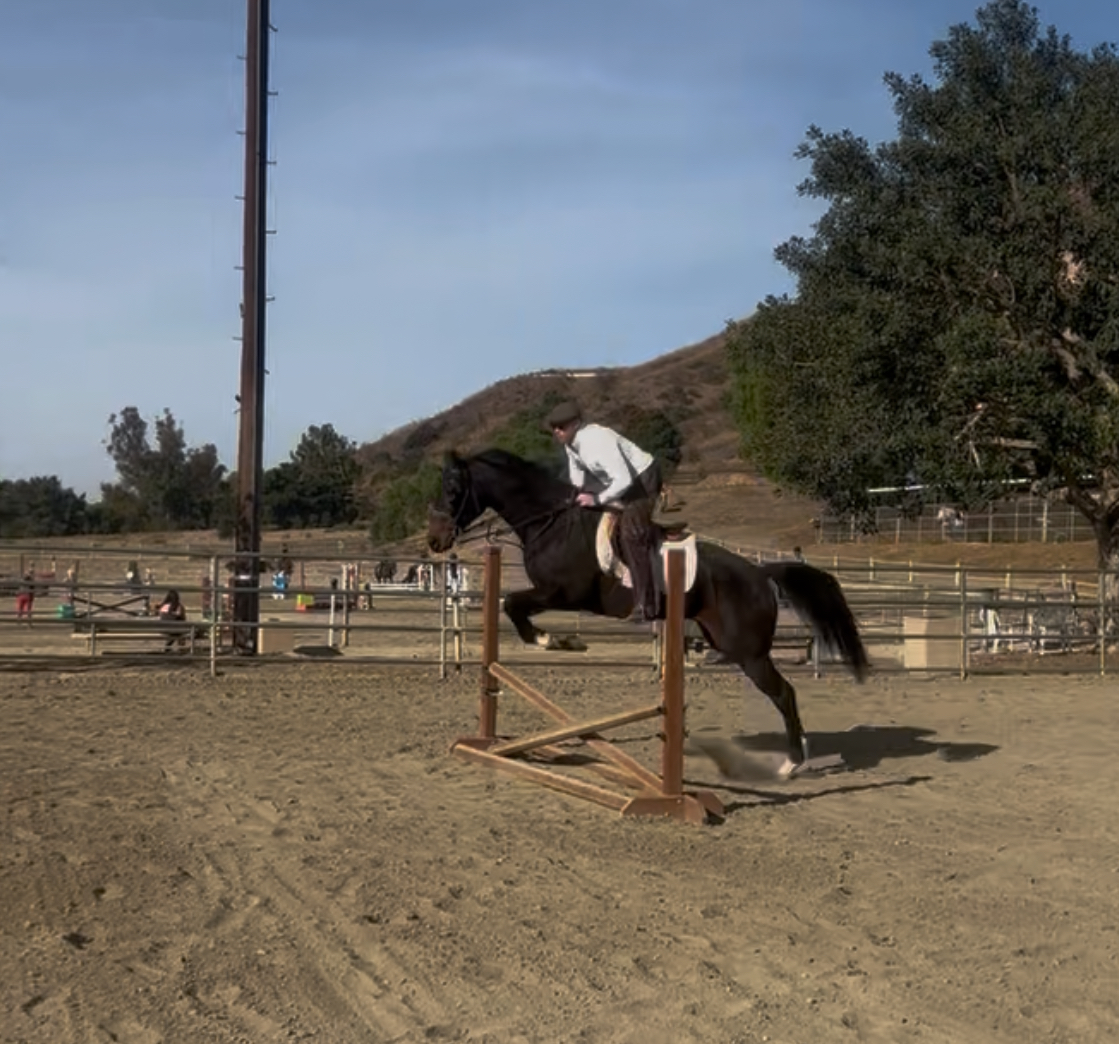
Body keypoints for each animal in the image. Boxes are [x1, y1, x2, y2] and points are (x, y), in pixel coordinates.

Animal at [427, 448, 869, 771]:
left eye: (453, 489)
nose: (435, 540)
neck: (550, 523)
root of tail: (759, 572)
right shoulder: (553, 593)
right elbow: (511, 605)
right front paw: (556, 640)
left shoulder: (562, 593)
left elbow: (513, 605)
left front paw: (555, 640)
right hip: (729, 642)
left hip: (750, 653)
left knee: (784, 693)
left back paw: (793, 763)